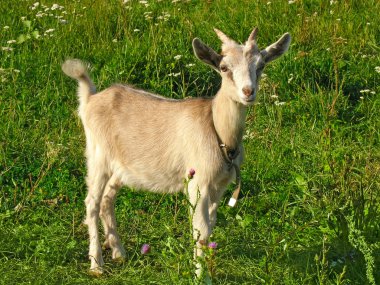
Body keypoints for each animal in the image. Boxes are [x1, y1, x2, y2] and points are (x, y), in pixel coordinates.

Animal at [62, 27, 290, 276]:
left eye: (261, 65)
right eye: (223, 67)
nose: (248, 92)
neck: (218, 131)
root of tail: (90, 98)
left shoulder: (219, 186)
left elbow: (210, 226)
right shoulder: (197, 184)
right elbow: (201, 231)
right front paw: (201, 276)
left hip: (121, 166)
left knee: (107, 199)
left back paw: (118, 252)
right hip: (97, 156)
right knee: (92, 202)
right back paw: (97, 264)